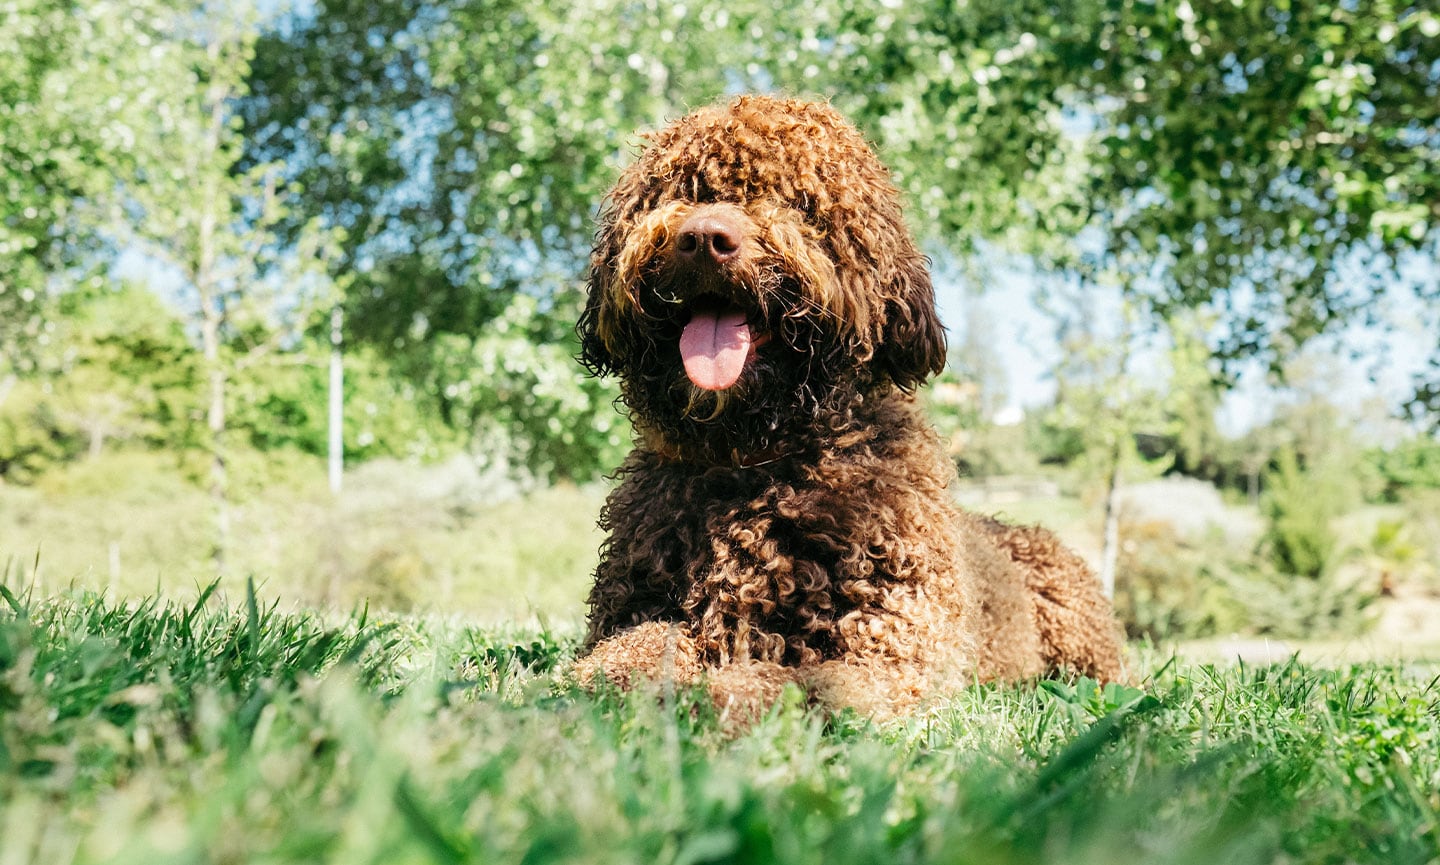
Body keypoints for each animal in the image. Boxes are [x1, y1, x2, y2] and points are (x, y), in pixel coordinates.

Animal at [573, 92, 1123, 722]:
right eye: (681, 189)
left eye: (793, 199)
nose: (704, 237)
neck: (755, 461)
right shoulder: (638, 611)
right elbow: (628, 654)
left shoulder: (892, 657)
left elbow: (794, 685)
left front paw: (712, 701)